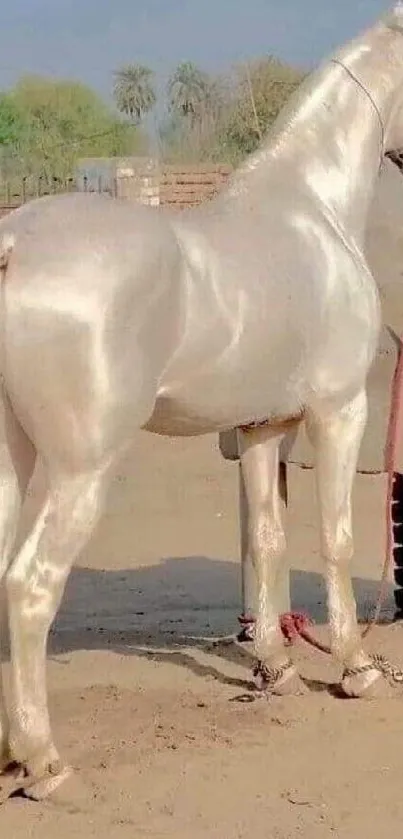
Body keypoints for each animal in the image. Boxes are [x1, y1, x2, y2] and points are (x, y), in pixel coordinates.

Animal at [0, 4, 403, 800]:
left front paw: (275, 665)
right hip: (80, 471)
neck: (312, 207)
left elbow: (268, 540)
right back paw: (43, 762)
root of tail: (15, 246)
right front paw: (355, 667)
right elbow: (336, 538)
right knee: (29, 587)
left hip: (10, 453)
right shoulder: (339, 411)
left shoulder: (261, 427)